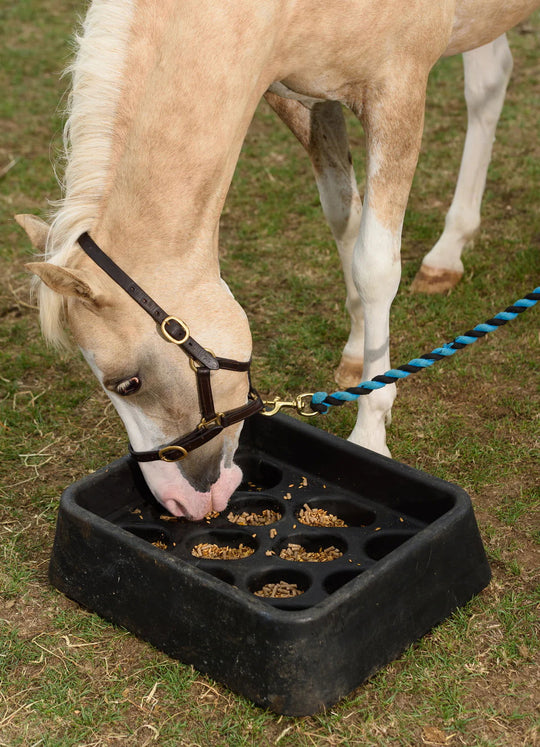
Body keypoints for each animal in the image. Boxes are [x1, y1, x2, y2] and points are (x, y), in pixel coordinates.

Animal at [19, 1, 536, 520]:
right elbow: (343, 216)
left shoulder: (399, 89)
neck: (279, 14)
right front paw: (356, 354)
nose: (177, 503)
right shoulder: (302, 98)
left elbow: (374, 264)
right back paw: (447, 253)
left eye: (128, 383)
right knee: (490, 81)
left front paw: (370, 432)